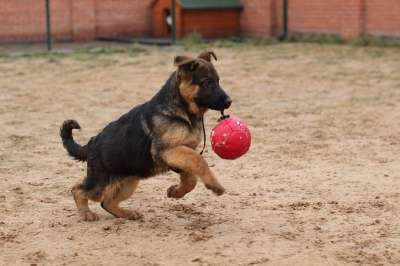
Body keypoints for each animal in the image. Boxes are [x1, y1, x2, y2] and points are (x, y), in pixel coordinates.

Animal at [61, 51, 233, 221]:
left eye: (218, 81)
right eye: (207, 83)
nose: (229, 101)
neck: (181, 110)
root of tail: (91, 144)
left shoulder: (181, 155)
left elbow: (191, 179)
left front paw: (175, 192)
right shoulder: (168, 151)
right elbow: (198, 160)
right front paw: (215, 185)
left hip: (128, 182)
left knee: (107, 202)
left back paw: (127, 214)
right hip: (101, 183)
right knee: (78, 190)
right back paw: (86, 213)